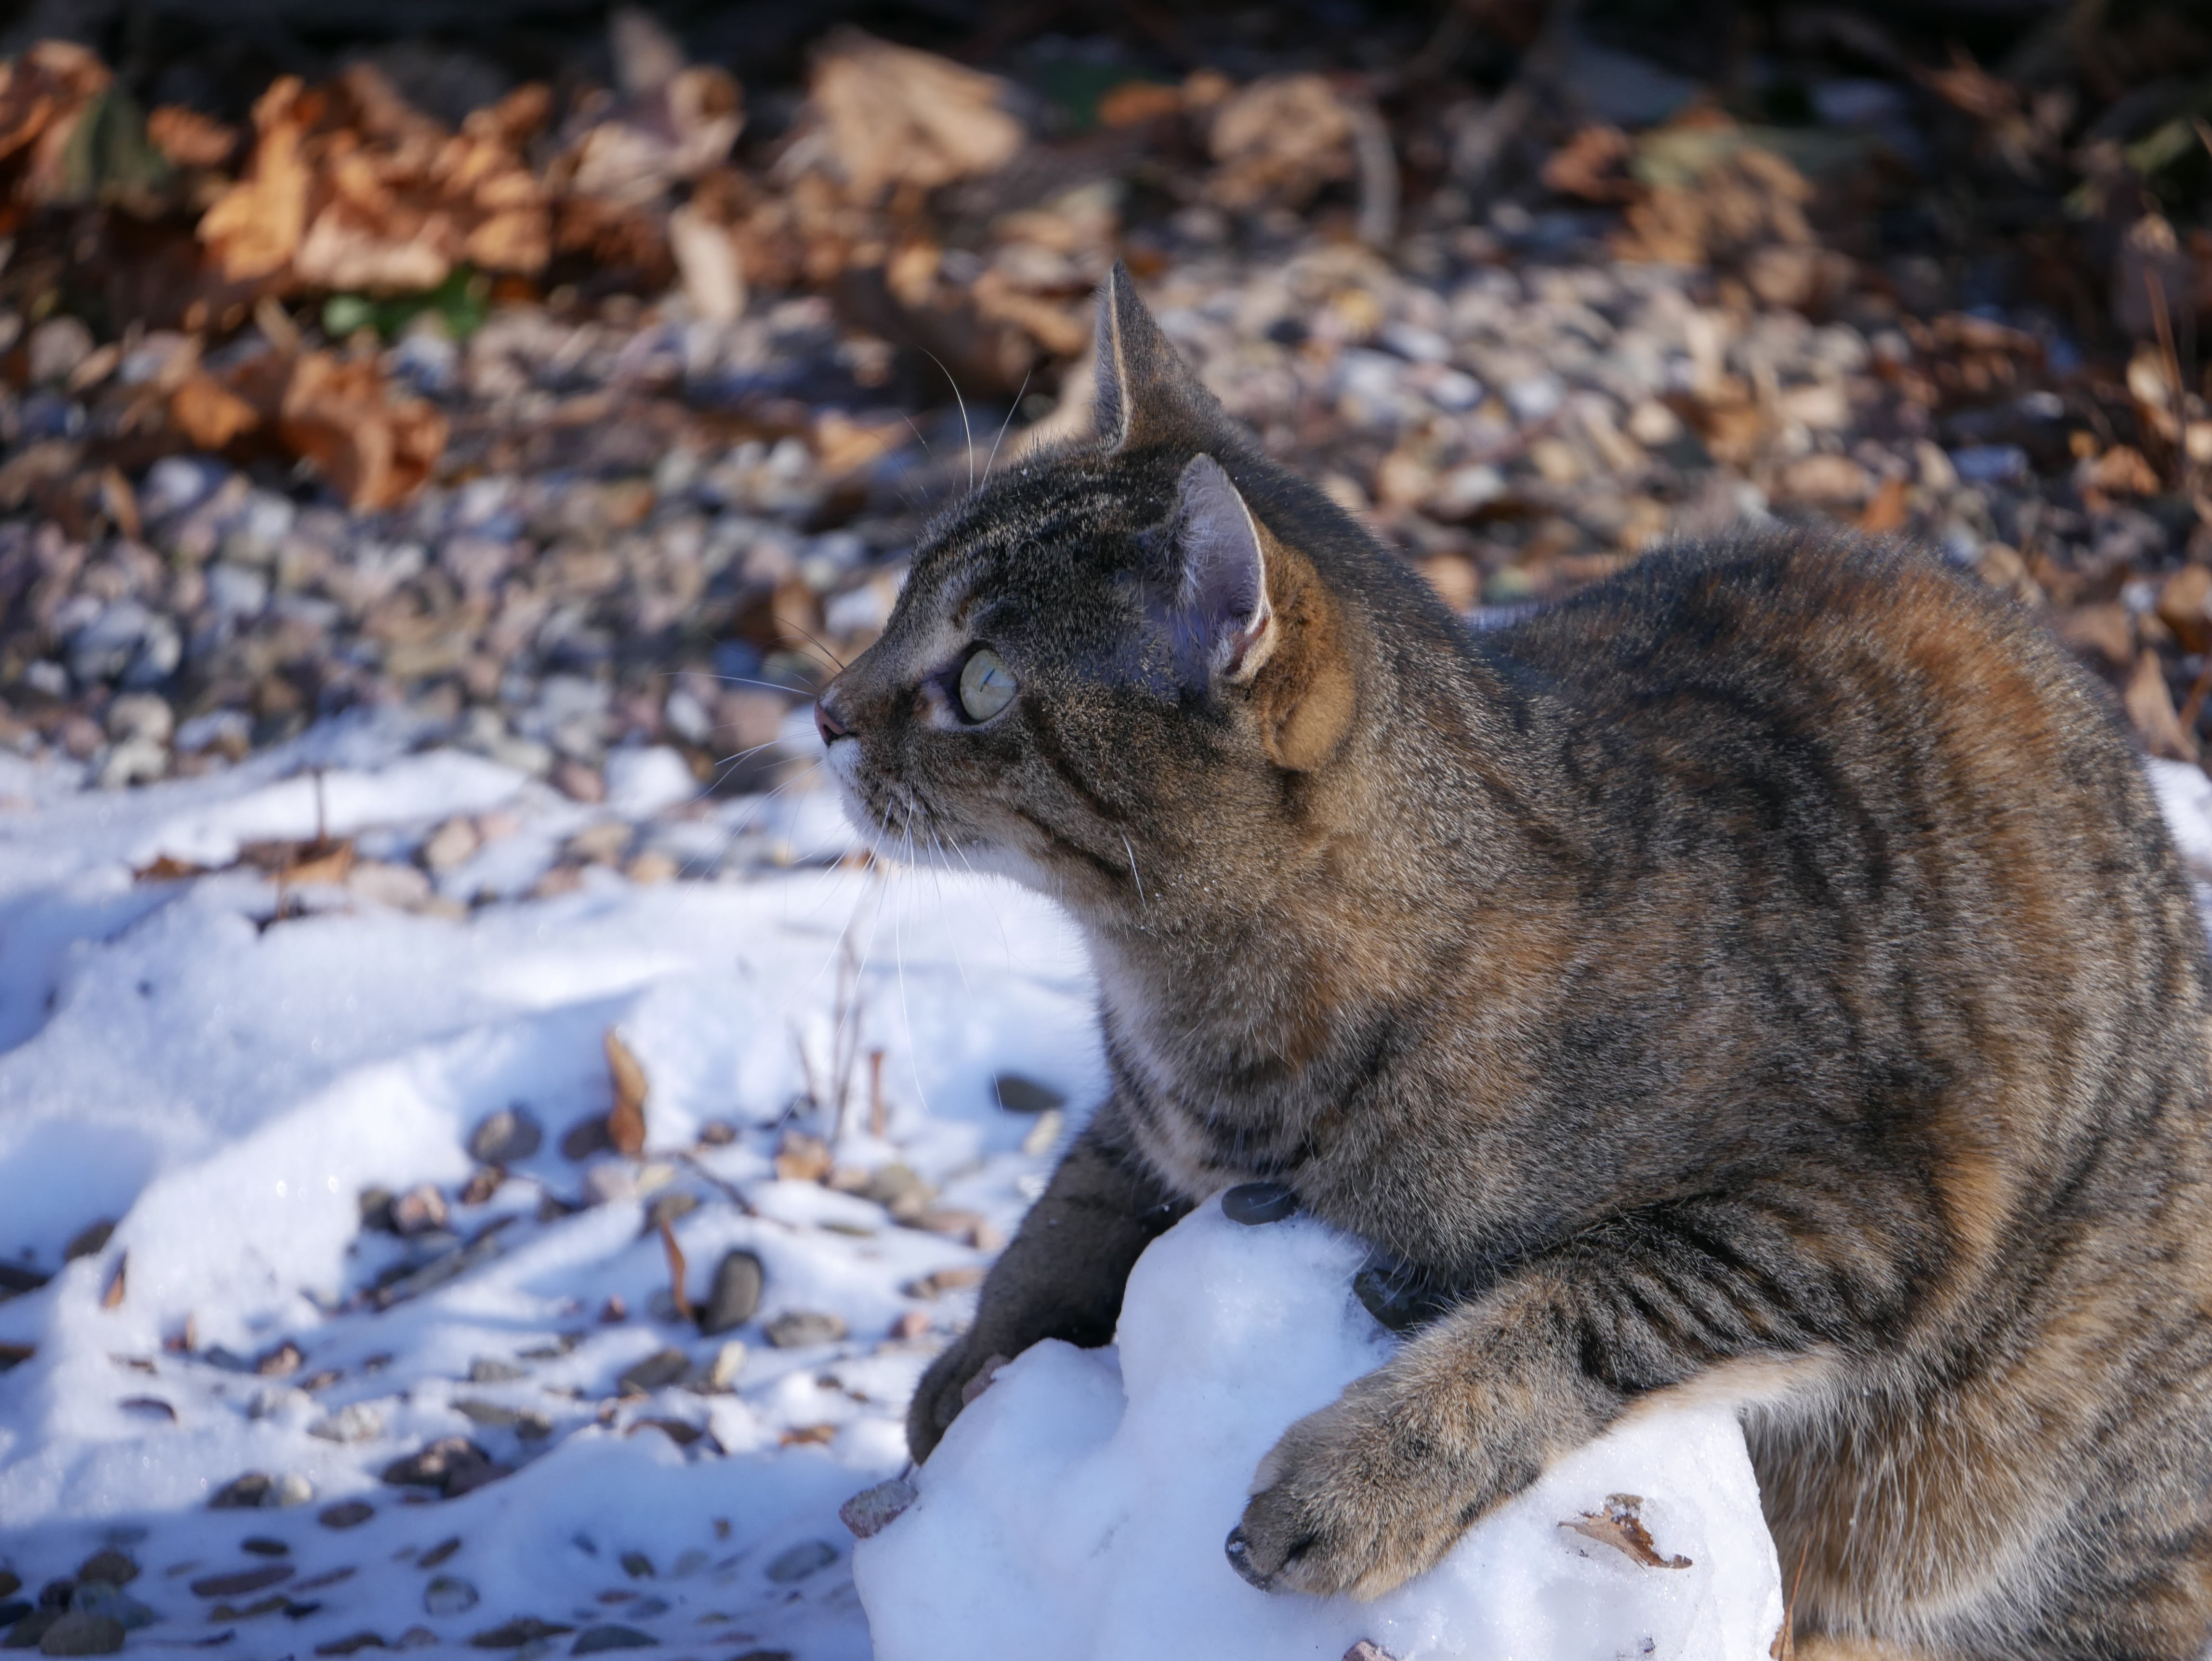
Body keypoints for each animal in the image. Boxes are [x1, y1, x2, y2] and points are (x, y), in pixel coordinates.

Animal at [814, 266, 2212, 1654]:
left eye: (982, 682)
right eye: (897, 606)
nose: (824, 709)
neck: (1196, 1016)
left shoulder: (1857, 1211)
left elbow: (1571, 1315)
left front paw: (1362, 1480)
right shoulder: (1140, 1121)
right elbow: (1074, 1198)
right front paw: (975, 1358)